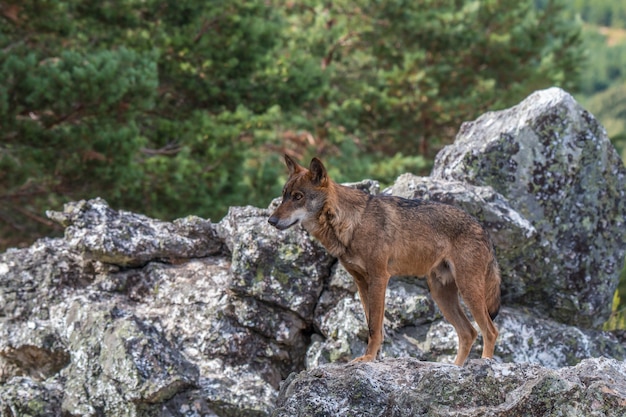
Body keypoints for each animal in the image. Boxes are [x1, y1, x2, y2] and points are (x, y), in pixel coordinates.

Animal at [266, 155, 500, 364]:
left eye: (298, 197)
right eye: (284, 195)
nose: (271, 221)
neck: (353, 224)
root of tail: (484, 230)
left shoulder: (380, 278)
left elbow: (373, 327)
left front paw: (368, 358)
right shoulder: (361, 283)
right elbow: (372, 323)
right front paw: (374, 358)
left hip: (468, 290)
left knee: (490, 331)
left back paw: (486, 364)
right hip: (440, 294)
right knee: (468, 333)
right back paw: (455, 369)